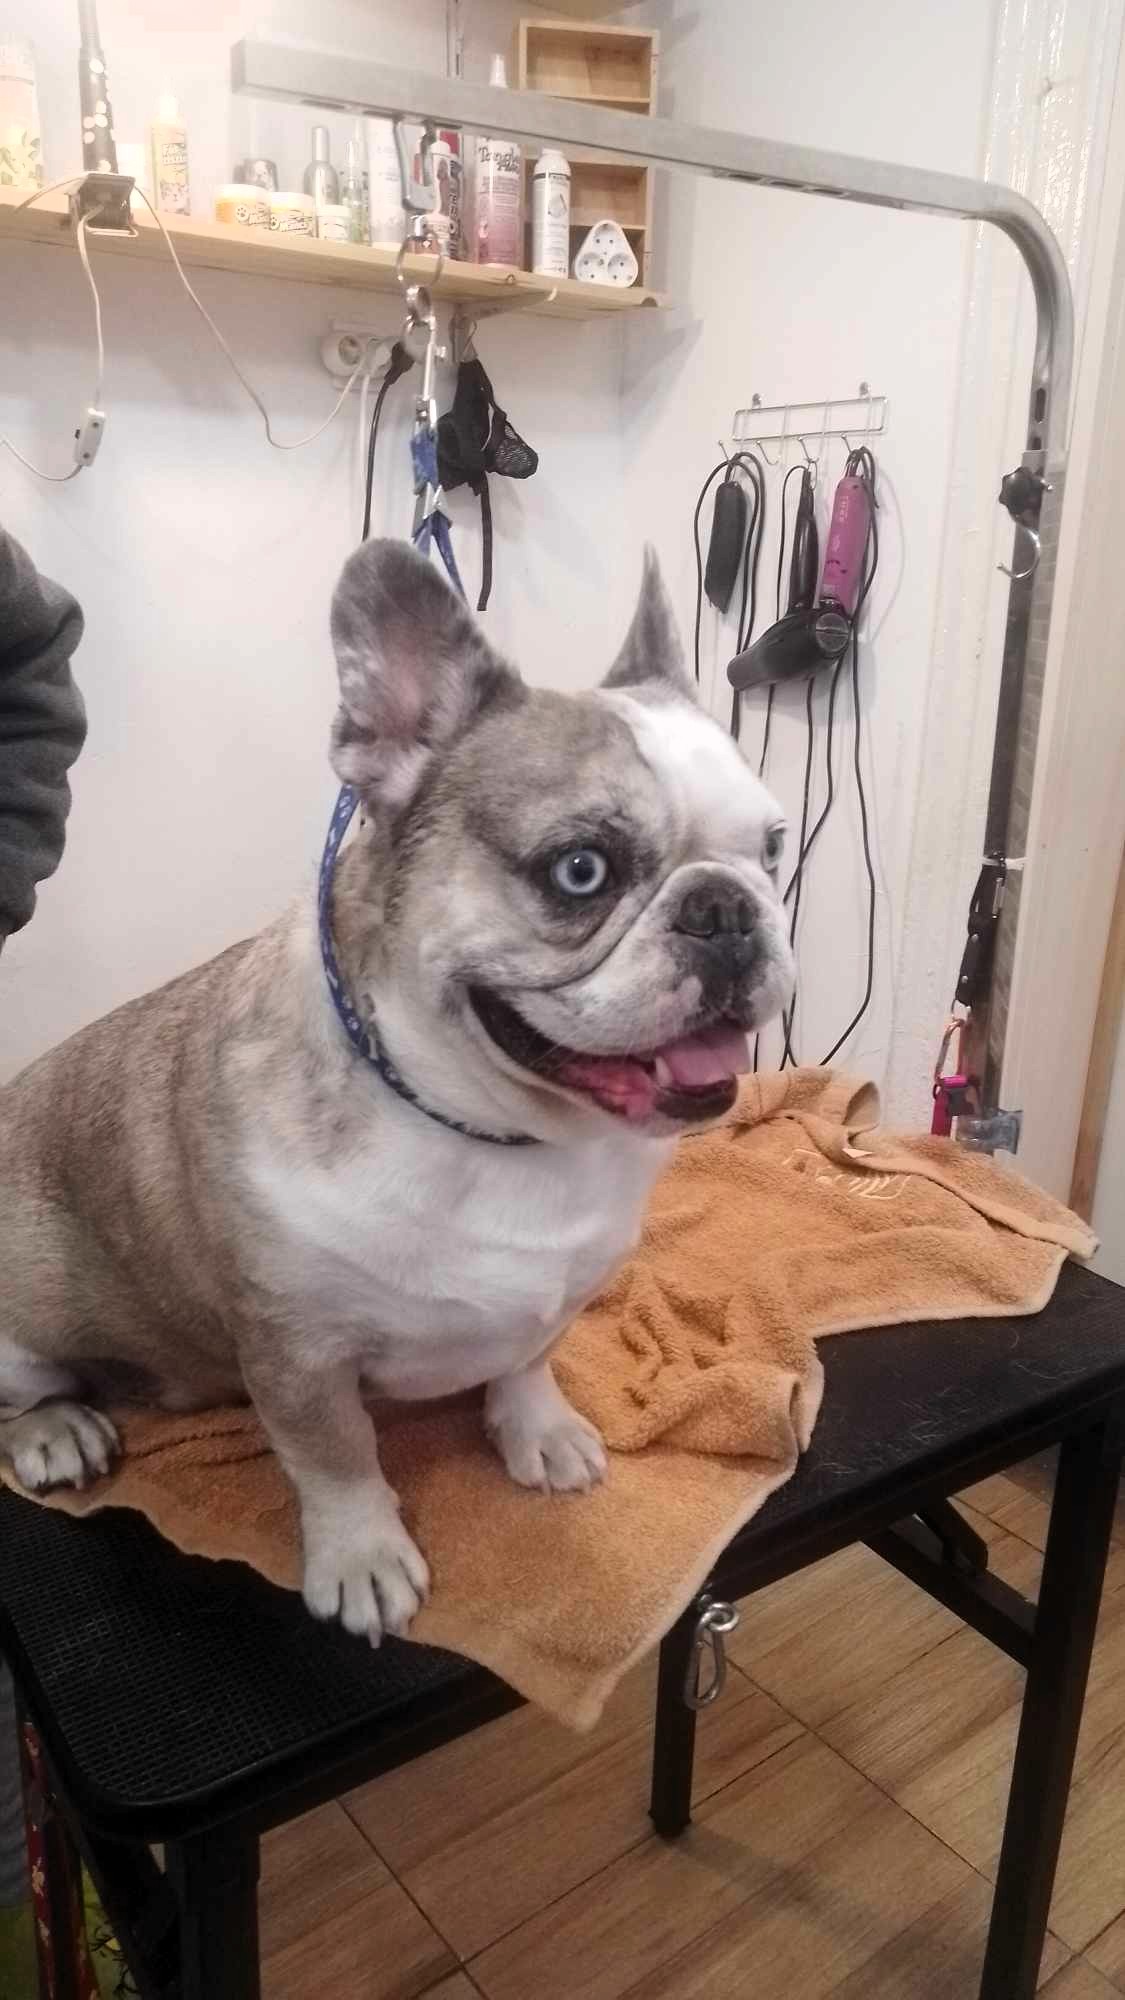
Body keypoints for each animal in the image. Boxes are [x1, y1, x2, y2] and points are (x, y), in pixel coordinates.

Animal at [0, 539, 794, 1645]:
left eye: (772, 849)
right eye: (581, 871)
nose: (726, 909)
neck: (497, 1129)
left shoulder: (558, 1293)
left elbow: (527, 1359)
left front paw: (537, 1430)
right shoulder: (298, 1353)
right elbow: (336, 1459)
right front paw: (363, 1557)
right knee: (23, 1393)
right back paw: (57, 1429)